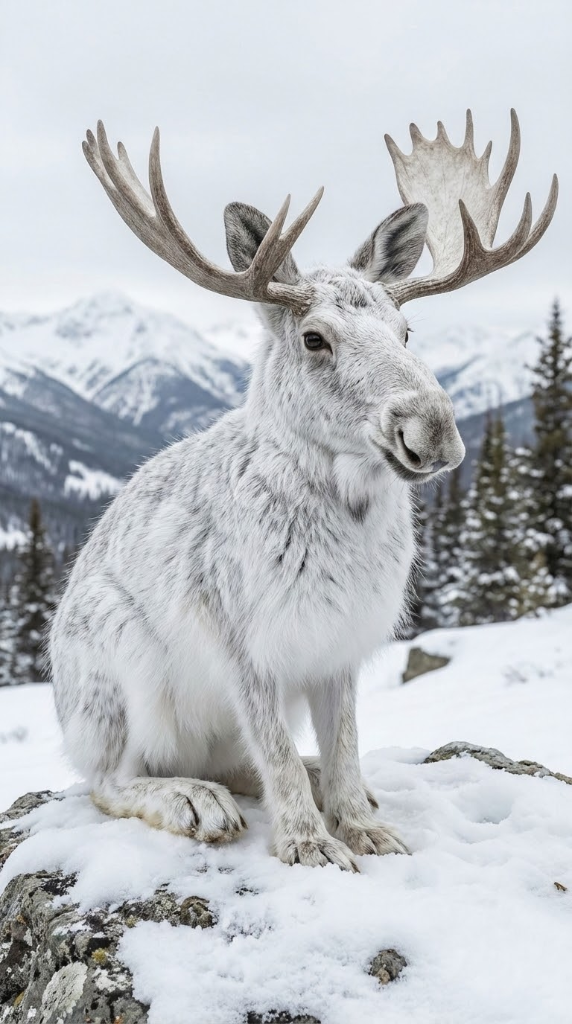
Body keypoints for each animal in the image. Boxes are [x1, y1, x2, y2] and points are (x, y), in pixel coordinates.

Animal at [50, 111, 557, 871]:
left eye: (407, 330)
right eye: (315, 338)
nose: (435, 430)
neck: (345, 504)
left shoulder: (339, 653)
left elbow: (342, 742)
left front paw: (368, 829)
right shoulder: (246, 646)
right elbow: (276, 754)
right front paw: (309, 847)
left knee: (240, 764)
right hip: (115, 674)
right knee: (111, 780)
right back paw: (195, 803)